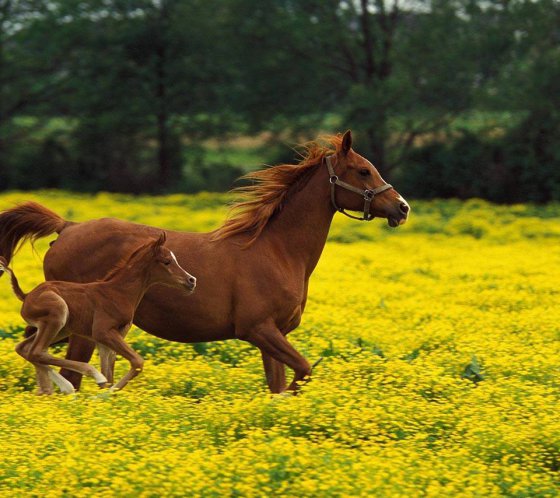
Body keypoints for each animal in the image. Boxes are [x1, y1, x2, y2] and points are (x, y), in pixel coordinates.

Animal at [0, 232, 197, 392]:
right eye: (167, 261)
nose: (191, 280)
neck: (119, 292)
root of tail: (26, 296)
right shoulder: (102, 332)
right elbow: (136, 363)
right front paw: (103, 394)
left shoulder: (108, 339)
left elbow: (110, 373)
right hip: (58, 314)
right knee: (37, 352)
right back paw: (79, 381)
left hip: (61, 328)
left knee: (26, 349)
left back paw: (56, 389)